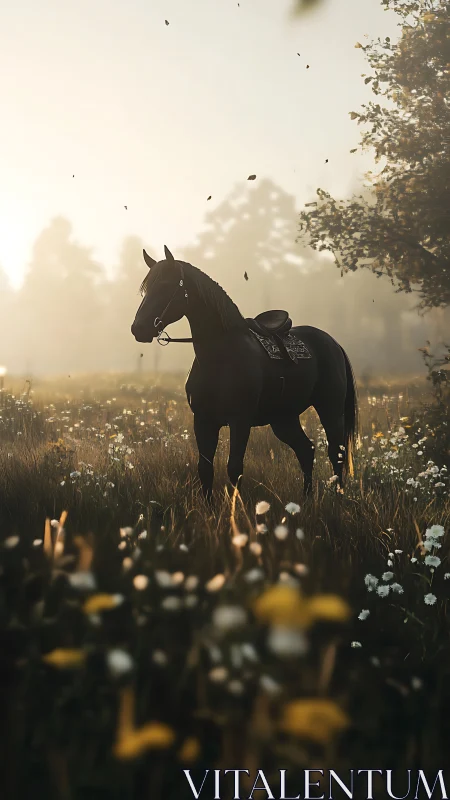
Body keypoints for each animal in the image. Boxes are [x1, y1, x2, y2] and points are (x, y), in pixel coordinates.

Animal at [131, 246, 358, 503]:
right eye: (146, 289)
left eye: (166, 286)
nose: (139, 329)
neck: (220, 357)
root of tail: (333, 343)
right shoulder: (203, 420)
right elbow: (205, 468)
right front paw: (209, 508)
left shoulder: (240, 421)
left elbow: (234, 468)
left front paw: (235, 509)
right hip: (283, 418)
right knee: (306, 450)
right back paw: (306, 498)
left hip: (330, 409)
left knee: (336, 452)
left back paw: (337, 496)